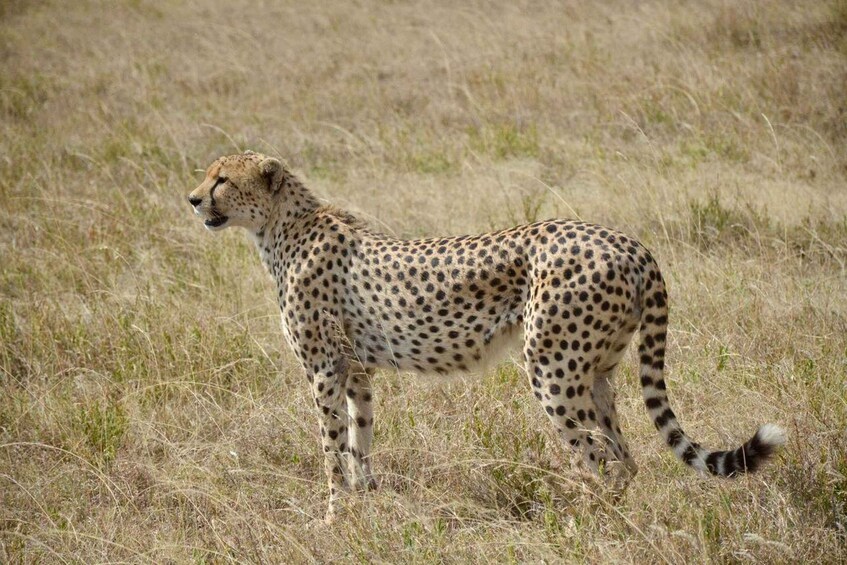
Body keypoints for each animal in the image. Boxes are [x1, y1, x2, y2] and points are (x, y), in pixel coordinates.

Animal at [187, 150, 785, 522]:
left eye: (221, 179)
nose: (192, 199)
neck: (280, 228)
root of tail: (630, 243)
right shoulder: (356, 372)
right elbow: (360, 444)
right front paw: (365, 508)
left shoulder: (324, 371)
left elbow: (331, 450)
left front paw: (333, 519)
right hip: (598, 373)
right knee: (624, 454)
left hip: (551, 369)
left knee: (598, 457)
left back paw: (581, 524)